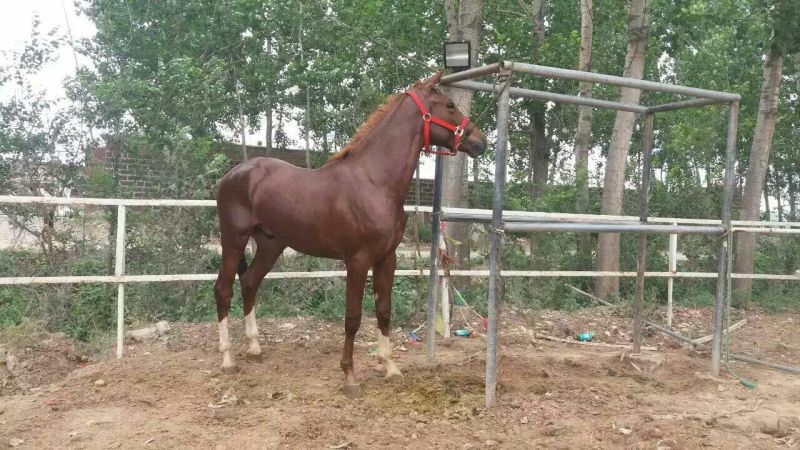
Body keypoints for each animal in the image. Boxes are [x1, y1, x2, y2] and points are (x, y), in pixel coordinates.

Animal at [214, 71, 487, 397]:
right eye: (449, 105)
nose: (481, 142)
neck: (374, 181)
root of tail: (233, 174)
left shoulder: (387, 258)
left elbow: (383, 310)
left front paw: (390, 366)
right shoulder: (357, 261)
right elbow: (353, 318)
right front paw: (350, 377)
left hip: (270, 245)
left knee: (250, 282)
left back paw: (254, 348)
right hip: (233, 240)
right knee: (223, 290)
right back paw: (228, 358)